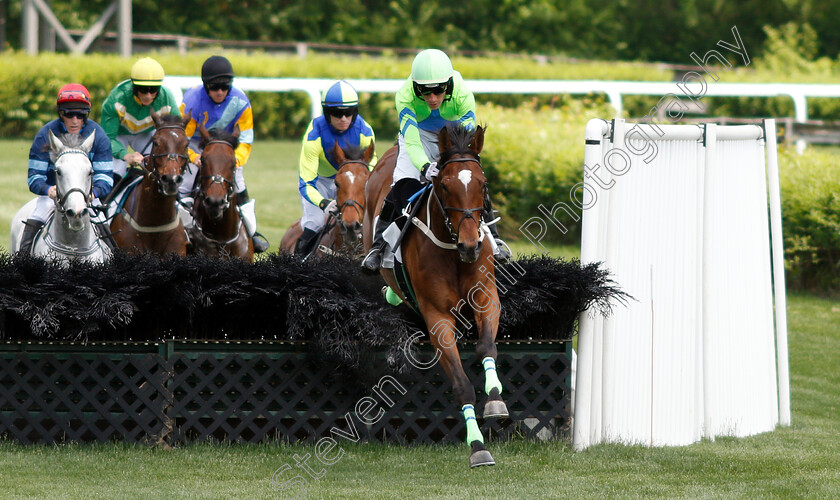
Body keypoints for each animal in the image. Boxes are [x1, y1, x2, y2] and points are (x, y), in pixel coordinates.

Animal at [360, 125, 506, 468]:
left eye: (483, 184)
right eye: (444, 186)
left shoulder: (487, 298)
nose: (471, 245)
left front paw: (496, 399)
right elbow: (461, 385)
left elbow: (486, 345)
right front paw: (477, 447)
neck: (453, 252)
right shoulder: (437, 318)